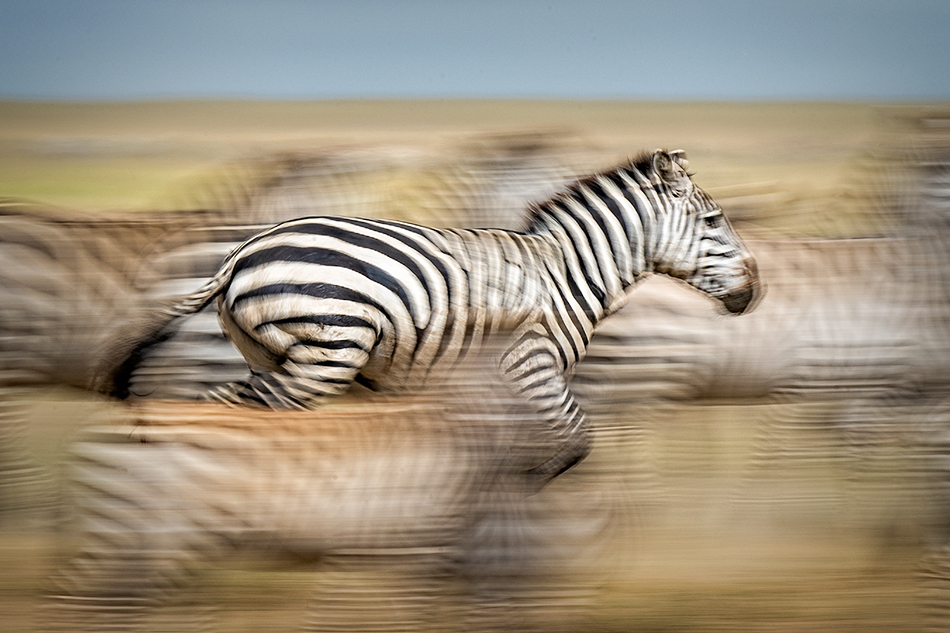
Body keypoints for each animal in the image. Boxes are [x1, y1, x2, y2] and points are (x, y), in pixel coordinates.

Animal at [100, 151, 764, 482]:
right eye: (714, 221)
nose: (753, 292)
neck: (565, 273)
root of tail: (242, 251)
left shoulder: (479, 386)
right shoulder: (532, 366)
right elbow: (575, 442)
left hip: (272, 355)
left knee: (234, 413)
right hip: (327, 353)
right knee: (227, 412)